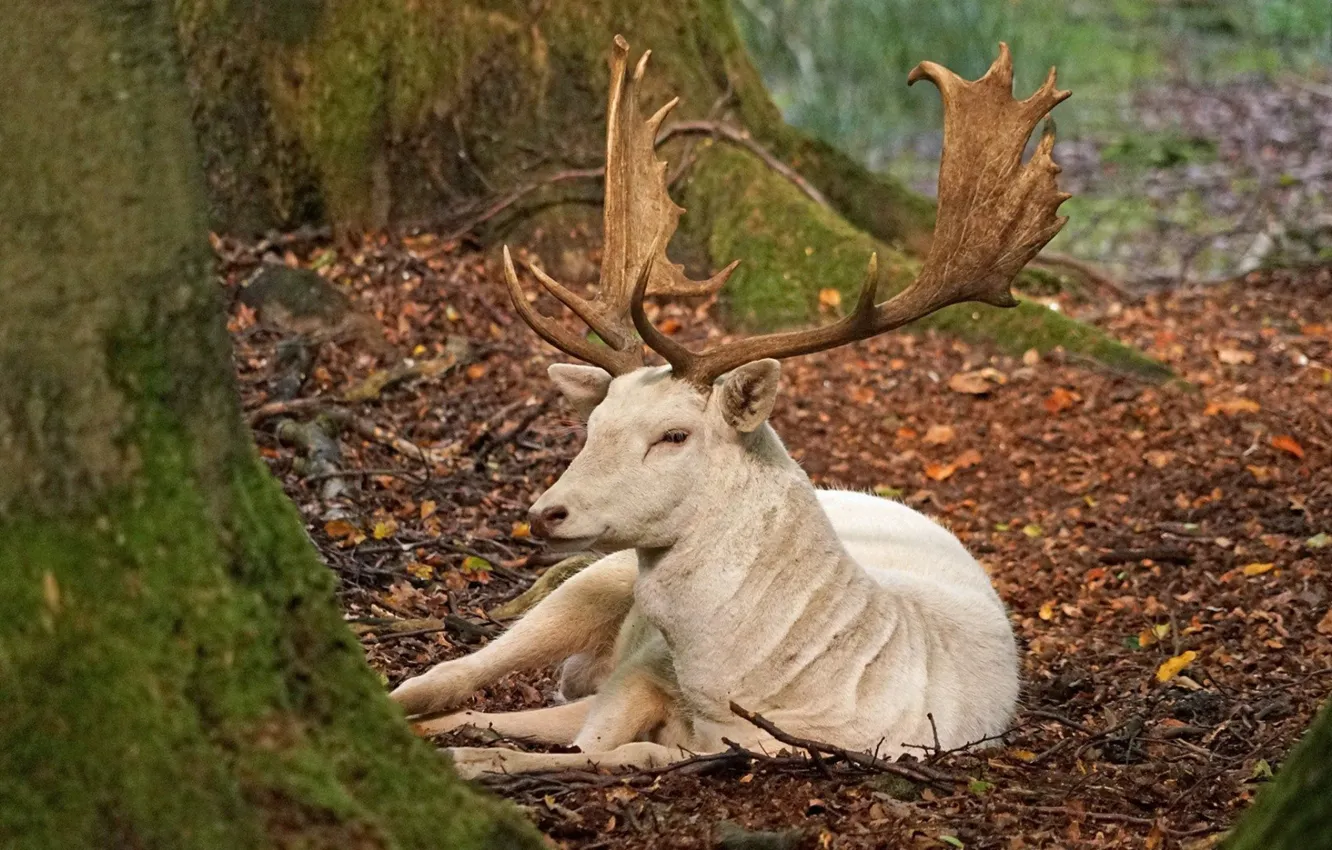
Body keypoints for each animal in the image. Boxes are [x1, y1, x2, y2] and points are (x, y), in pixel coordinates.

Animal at [391, 34, 1070, 778]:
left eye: (674, 435)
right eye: (592, 426)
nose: (547, 512)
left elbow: (616, 753)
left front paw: (474, 760)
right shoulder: (641, 669)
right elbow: (587, 739)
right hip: (596, 577)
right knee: (449, 673)